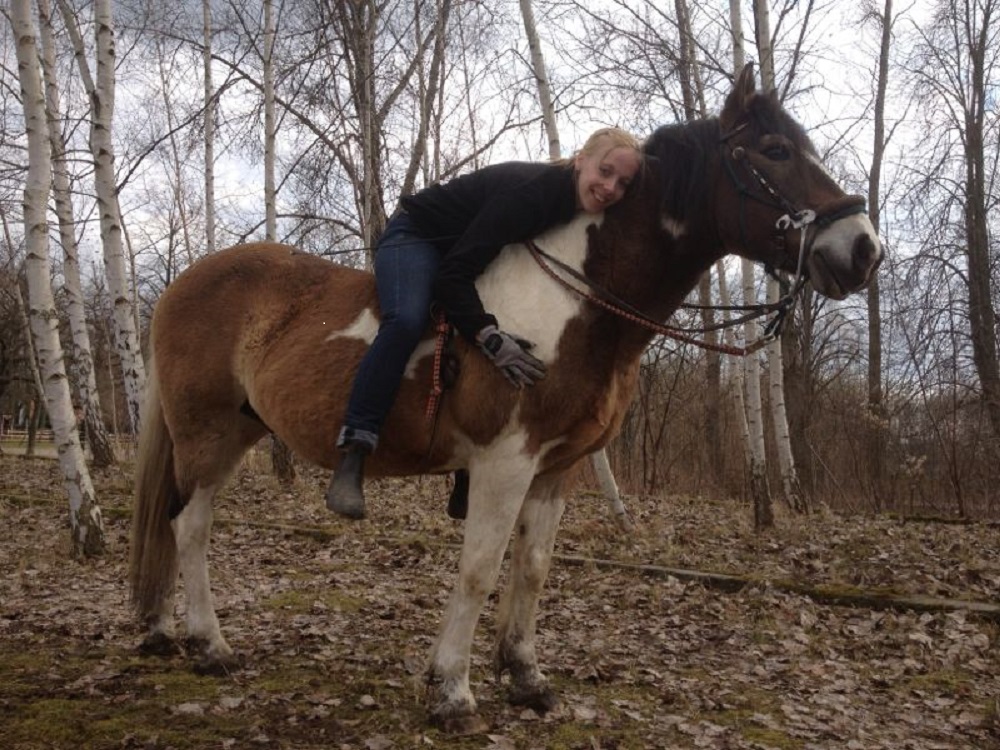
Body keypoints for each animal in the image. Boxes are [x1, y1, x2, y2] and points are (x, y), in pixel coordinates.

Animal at [129, 64, 881, 732]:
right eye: (776, 150)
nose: (863, 249)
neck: (578, 301)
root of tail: (180, 283)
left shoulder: (555, 469)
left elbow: (534, 570)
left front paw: (525, 678)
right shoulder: (503, 464)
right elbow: (478, 570)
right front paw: (452, 694)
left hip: (234, 432)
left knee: (175, 522)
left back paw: (165, 631)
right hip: (205, 433)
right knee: (189, 527)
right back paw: (211, 646)